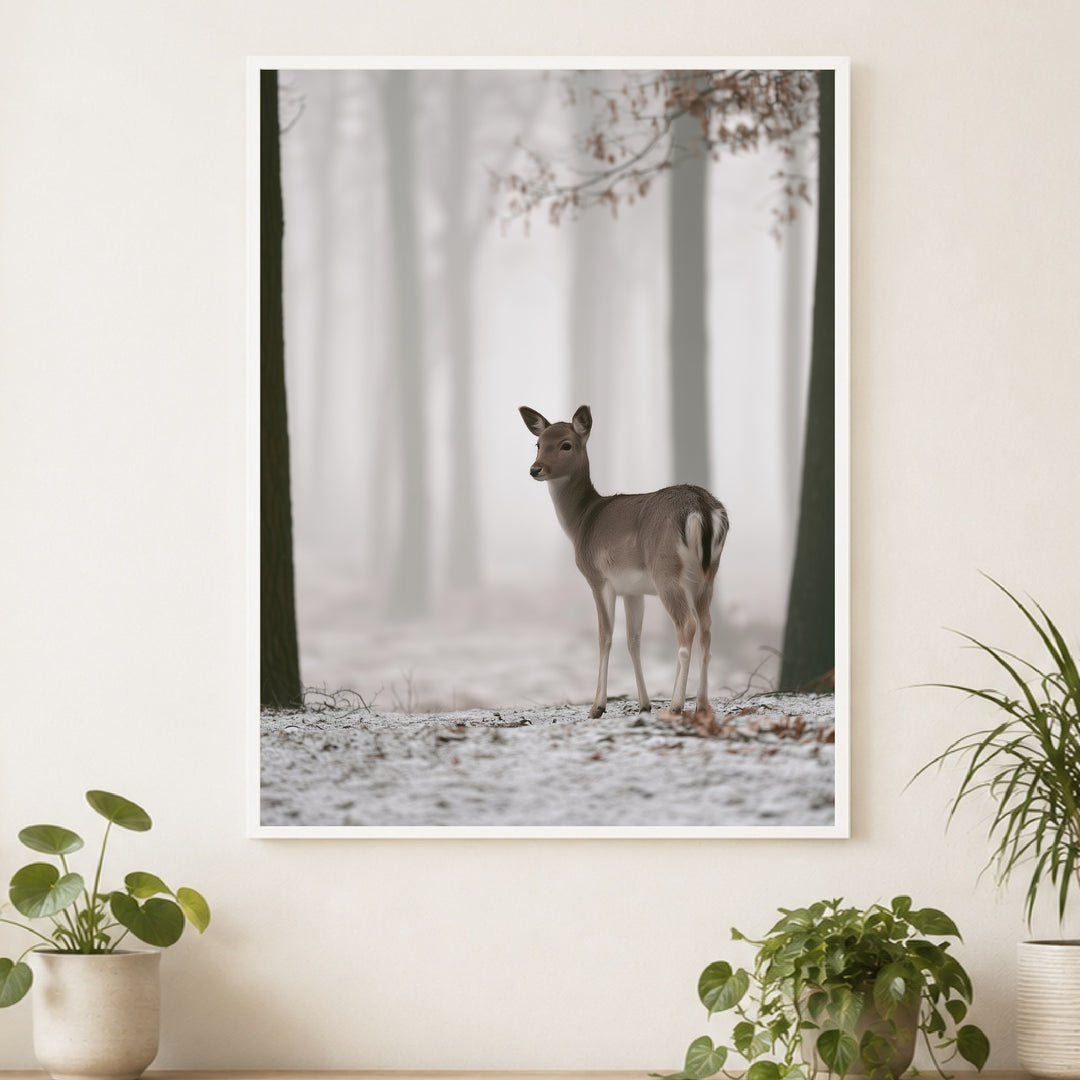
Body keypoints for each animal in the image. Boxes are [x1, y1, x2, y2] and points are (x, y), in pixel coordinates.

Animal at [519, 404, 729, 720]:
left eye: (566, 444)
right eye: (538, 443)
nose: (535, 469)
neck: (582, 521)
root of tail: (701, 507)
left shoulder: (599, 578)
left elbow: (605, 637)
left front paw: (597, 706)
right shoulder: (633, 590)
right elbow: (633, 640)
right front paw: (643, 704)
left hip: (666, 571)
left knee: (687, 626)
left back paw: (676, 704)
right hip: (708, 574)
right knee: (706, 629)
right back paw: (702, 704)